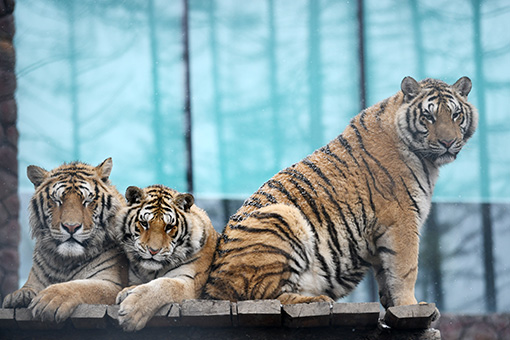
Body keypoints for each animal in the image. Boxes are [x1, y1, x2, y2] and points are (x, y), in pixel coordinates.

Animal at [1, 158, 127, 322]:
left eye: (87, 200)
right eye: (57, 200)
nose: (71, 227)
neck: (64, 261)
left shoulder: (113, 284)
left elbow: (84, 287)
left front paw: (49, 299)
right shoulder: (35, 280)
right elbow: (27, 287)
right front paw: (18, 296)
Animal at [114, 185, 218, 330]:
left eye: (169, 227)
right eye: (144, 223)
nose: (153, 251)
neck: (151, 271)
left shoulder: (190, 284)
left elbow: (164, 284)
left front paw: (131, 312)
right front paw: (126, 292)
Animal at [203, 76, 478, 308]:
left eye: (455, 115)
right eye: (428, 117)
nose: (447, 142)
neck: (427, 161)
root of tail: (211, 289)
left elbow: (387, 273)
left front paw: (392, 305)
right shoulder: (401, 219)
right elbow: (406, 269)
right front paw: (410, 306)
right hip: (281, 216)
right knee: (262, 295)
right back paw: (315, 299)